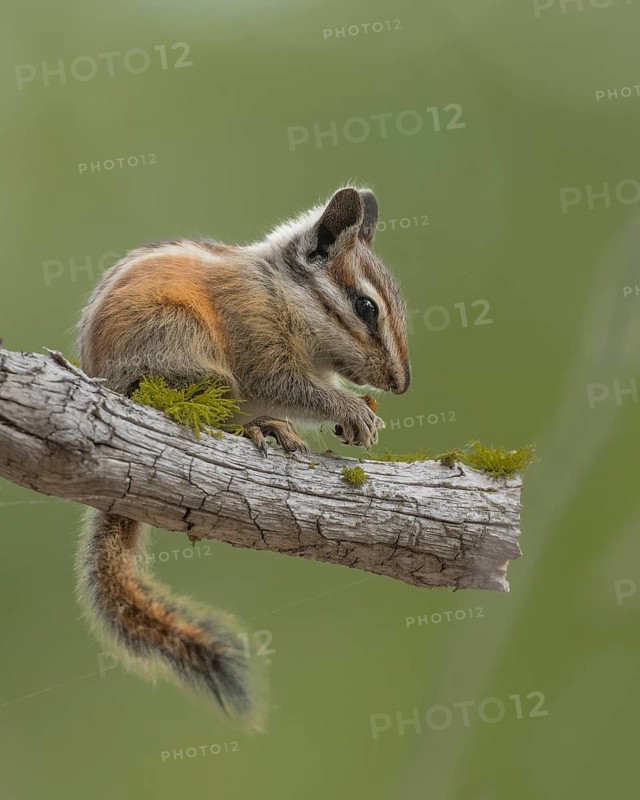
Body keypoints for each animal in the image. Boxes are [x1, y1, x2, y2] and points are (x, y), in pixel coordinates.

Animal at [75, 186, 411, 723]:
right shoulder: (257, 338)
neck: (282, 292)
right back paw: (255, 425)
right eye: (366, 307)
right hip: (181, 347)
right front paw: (351, 409)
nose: (401, 384)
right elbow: (286, 385)